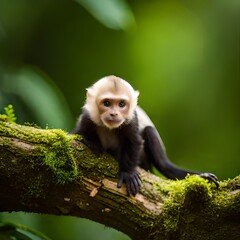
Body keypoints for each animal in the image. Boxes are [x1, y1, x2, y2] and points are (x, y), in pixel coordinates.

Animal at [71, 76, 219, 196]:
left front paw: (128, 173)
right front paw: (92, 142)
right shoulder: (87, 118)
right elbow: (77, 134)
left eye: (121, 104)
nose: (114, 114)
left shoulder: (132, 120)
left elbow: (135, 142)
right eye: (107, 103)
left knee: (157, 149)